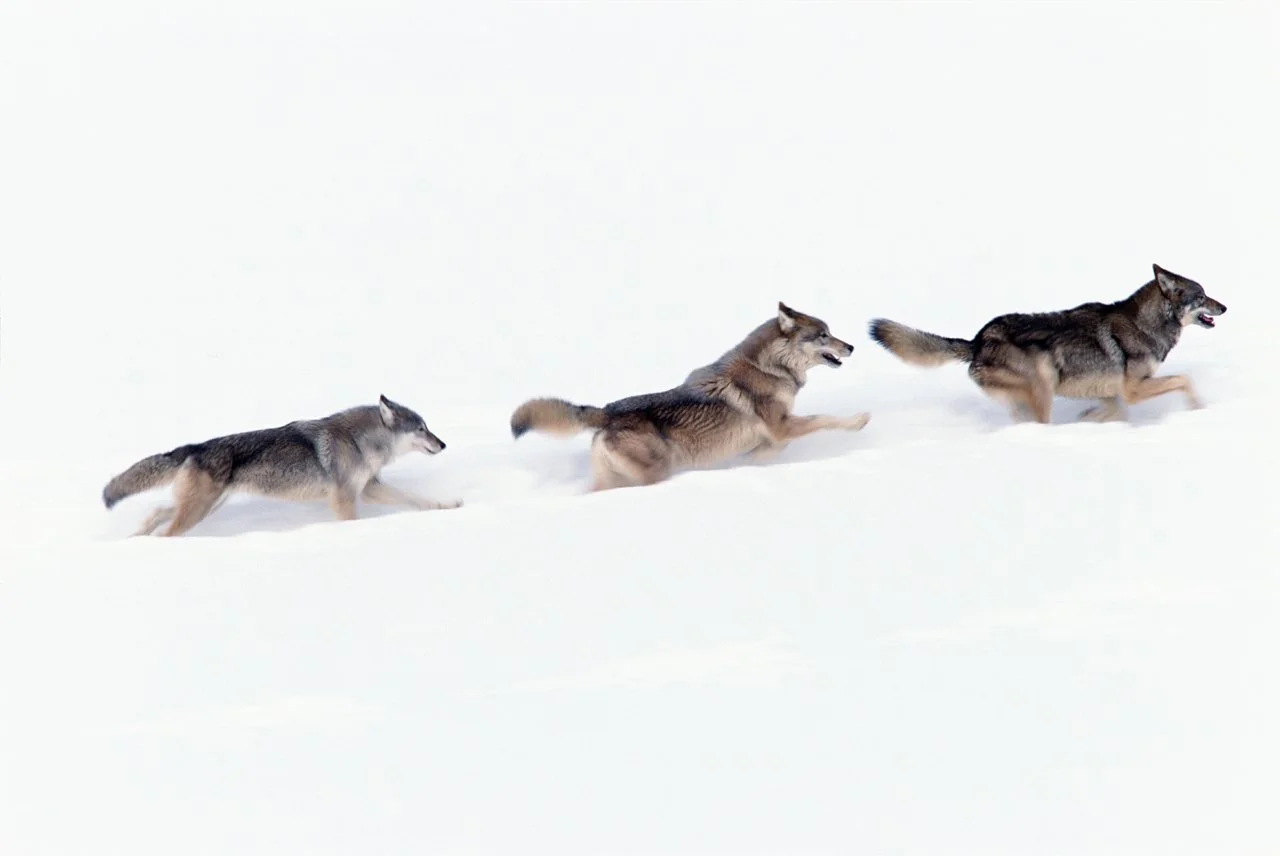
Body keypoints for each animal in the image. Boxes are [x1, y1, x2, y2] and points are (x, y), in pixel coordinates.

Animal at [102, 395, 461, 536]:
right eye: (421, 429)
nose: (443, 444)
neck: (361, 441)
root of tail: (193, 448)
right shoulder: (346, 497)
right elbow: (351, 521)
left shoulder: (369, 489)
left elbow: (417, 499)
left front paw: (447, 505)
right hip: (198, 511)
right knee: (167, 530)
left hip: (205, 507)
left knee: (157, 513)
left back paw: (136, 539)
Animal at [509, 302, 870, 491]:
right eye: (823, 335)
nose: (852, 346)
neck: (770, 368)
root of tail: (606, 411)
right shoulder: (782, 427)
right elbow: (824, 419)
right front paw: (859, 421)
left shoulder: (775, 435)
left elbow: (766, 452)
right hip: (658, 471)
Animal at [867, 263, 1227, 424]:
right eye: (1202, 296)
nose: (1224, 307)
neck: (1147, 325)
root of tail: (976, 341)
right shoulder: (1132, 389)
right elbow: (1184, 379)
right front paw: (1200, 409)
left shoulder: (1112, 393)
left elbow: (1110, 412)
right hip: (1043, 383)